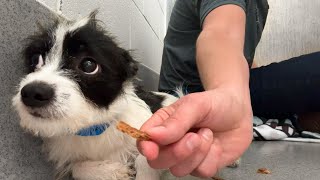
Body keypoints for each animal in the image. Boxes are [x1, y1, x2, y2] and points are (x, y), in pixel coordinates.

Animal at [12, 11, 179, 180]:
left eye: (88, 65)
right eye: (35, 59)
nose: (32, 93)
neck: (91, 127)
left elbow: (145, 160)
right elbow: (77, 167)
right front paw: (113, 171)